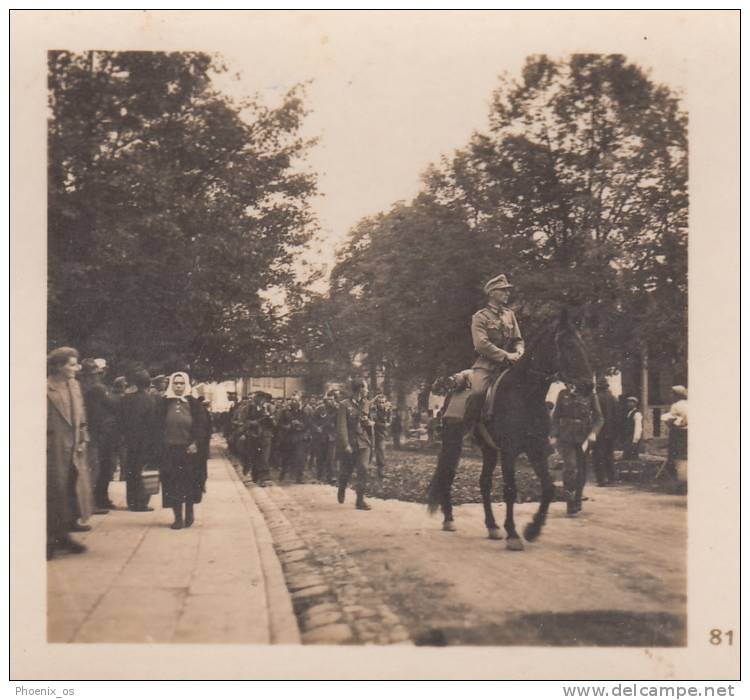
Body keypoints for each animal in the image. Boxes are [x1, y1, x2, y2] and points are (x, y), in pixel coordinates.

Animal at [428, 308, 592, 548]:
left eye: (582, 343)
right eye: (568, 345)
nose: (589, 385)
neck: (524, 394)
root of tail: (452, 386)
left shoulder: (536, 449)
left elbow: (549, 487)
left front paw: (532, 529)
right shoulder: (509, 451)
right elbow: (510, 490)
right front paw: (513, 534)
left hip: (488, 449)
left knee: (484, 483)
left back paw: (492, 526)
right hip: (453, 441)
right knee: (448, 473)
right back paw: (449, 519)